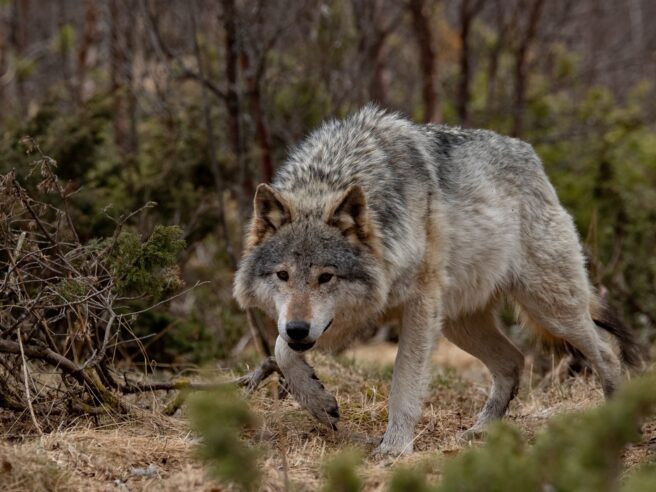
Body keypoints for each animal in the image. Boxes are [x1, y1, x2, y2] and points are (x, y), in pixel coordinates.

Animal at [234, 105, 640, 456]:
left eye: (326, 277)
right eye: (283, 275)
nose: (298, 327)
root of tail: (531, 155)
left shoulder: (419, 305)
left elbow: (404, 382)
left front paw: (395, 448)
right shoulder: (338, 321)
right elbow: (280, 349)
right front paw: (319, 403)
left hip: (550, 308)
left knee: (604, 351)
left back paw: (616, 421)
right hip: (460, 324)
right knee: (513, 360)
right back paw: (480, 431)